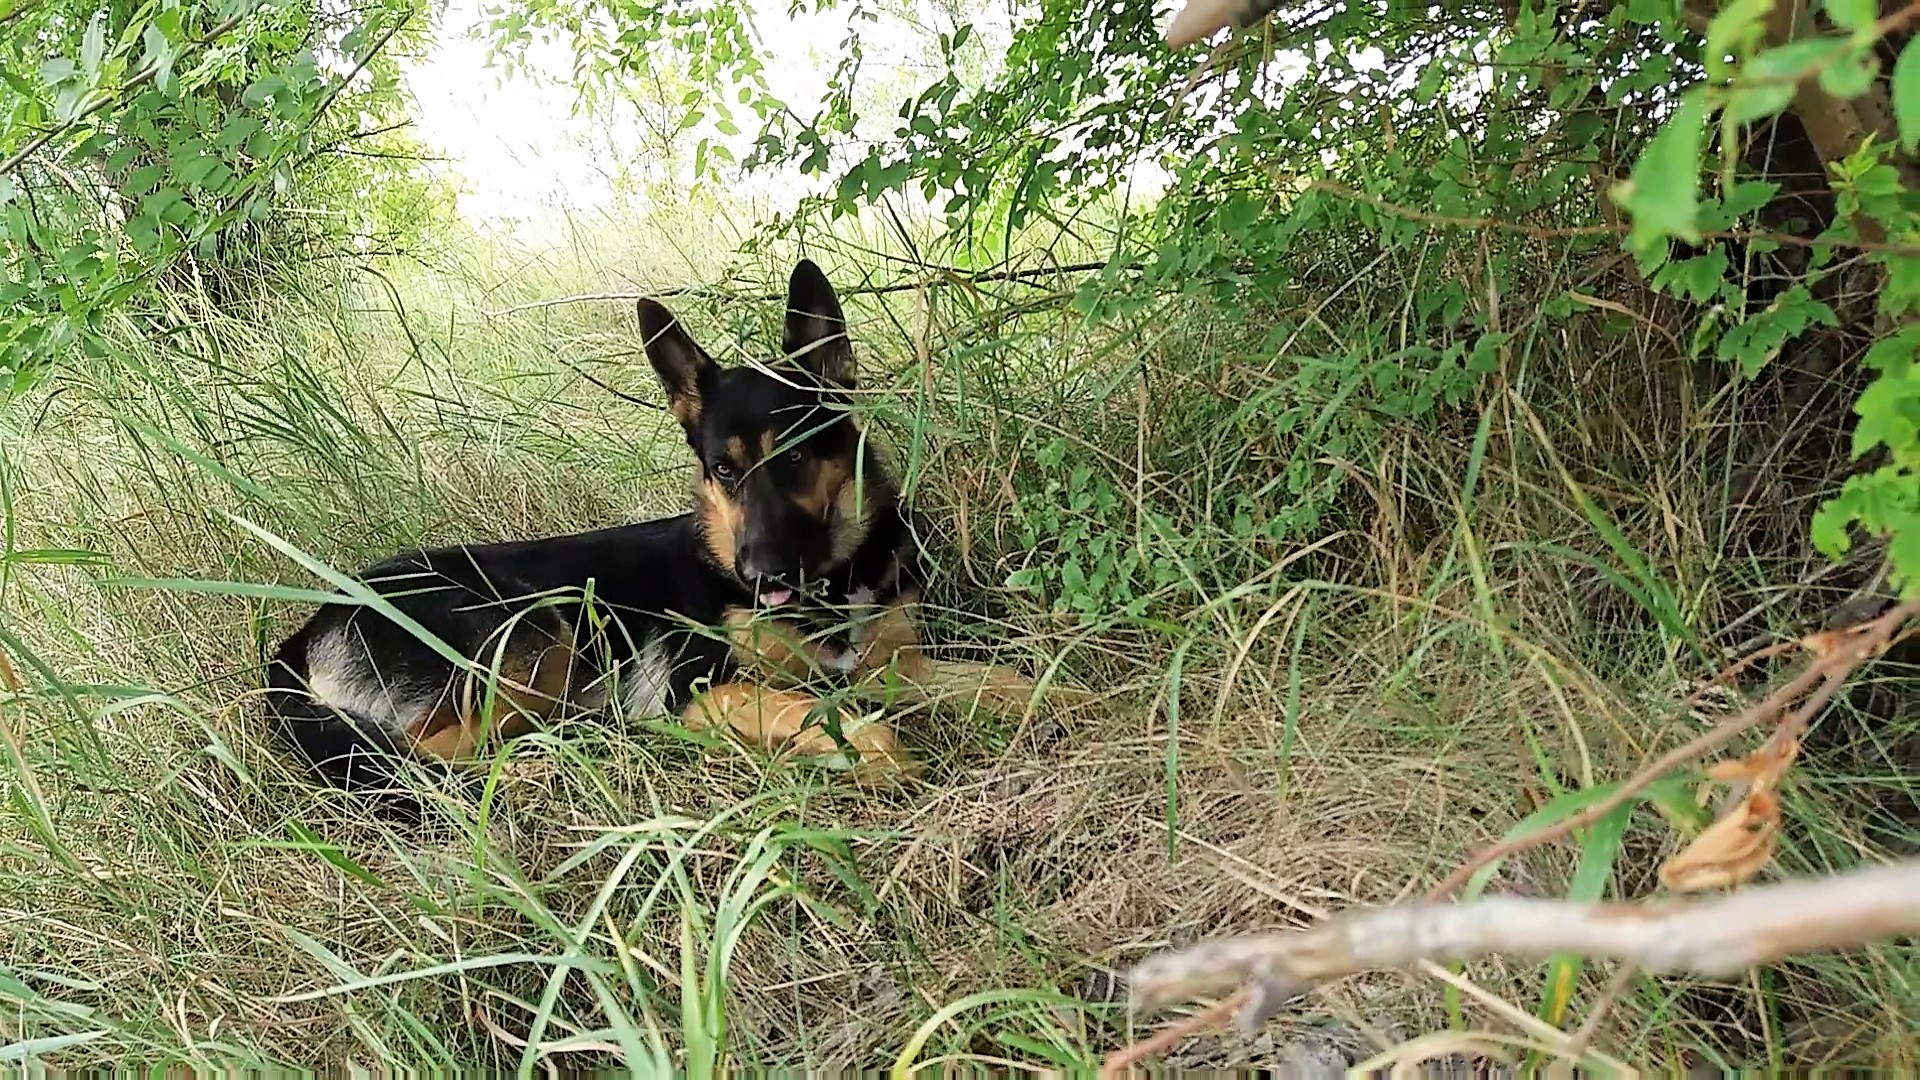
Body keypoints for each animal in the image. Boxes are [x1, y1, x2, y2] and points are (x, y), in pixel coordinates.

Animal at [263, 255, 1044, 810]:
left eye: (793, 456)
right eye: (723, 470)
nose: (760, 575)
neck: (831, 582)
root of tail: (307, 629)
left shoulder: (898, 665)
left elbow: (1012, 681)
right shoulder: (707, 688)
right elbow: (831, 714)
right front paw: (878, 758)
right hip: (540, 626)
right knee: (431, 759)